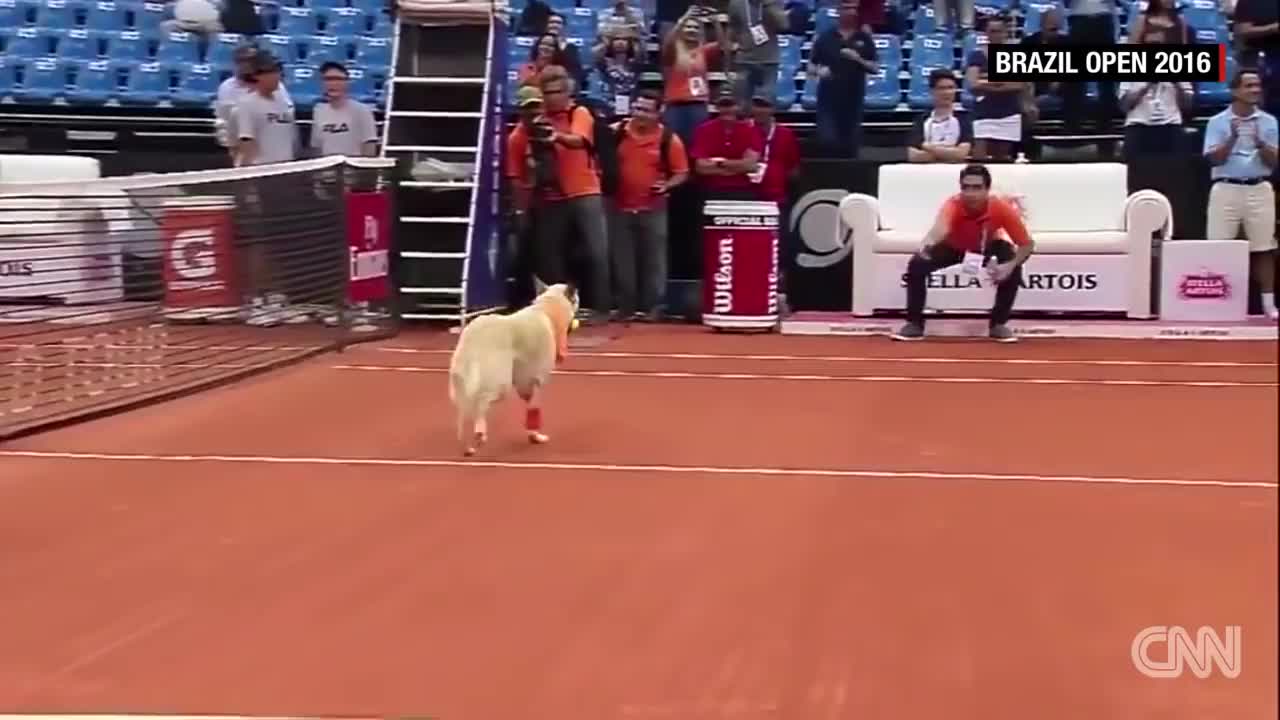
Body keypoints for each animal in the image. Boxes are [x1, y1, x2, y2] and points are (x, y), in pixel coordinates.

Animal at [445, 279, 576, 453]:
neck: (546, 310)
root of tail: (474, 340)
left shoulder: (524, 383)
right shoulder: (534, 381)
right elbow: (534, 411)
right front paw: (535, 436)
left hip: (461, 384)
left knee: (463, 414)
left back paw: (467, 445)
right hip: (500, 385)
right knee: (481, 403)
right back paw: (480, 432)